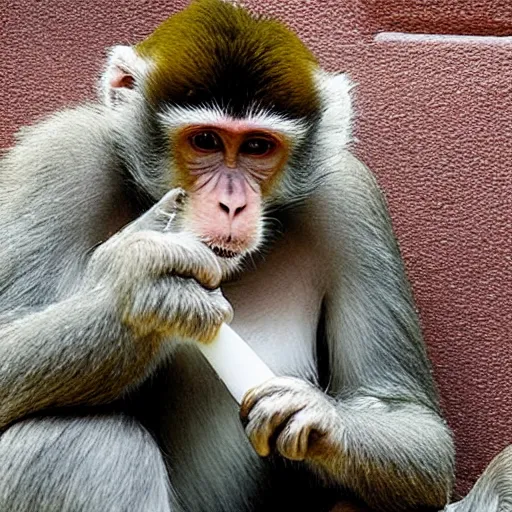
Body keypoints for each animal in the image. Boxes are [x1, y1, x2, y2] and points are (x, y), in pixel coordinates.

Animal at [0, 1, 508, 512]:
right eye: (205, 140)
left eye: (258, 146)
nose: (232, 204)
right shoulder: (61, 155)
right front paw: (144, 293)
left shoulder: (350, 196)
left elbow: (405, 416)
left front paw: (316, 415)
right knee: (81, 438)